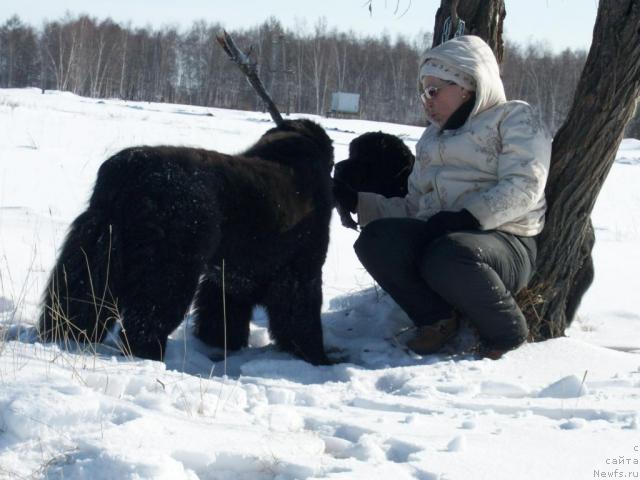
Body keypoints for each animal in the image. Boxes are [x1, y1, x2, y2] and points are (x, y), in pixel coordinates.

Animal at [40, 120, 336, 364]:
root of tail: (127, 171)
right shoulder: (301, 274)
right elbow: (302, 317)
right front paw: (316, 357)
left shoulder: (229, 277)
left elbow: (223, 312)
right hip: (168, 271)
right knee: (145, 322)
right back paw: (149, 358)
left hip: (96, 252)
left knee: (77, 301)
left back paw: (66, 337)